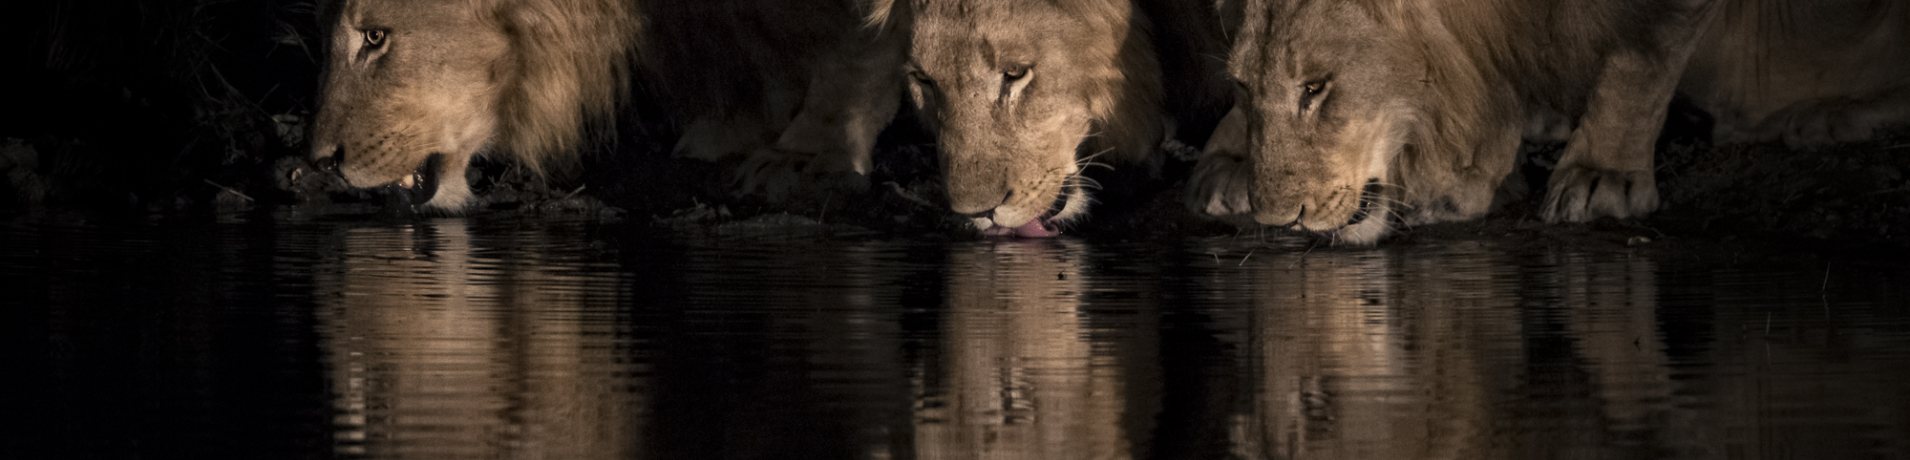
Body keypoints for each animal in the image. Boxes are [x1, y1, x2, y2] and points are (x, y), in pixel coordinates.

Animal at [1191, 0, 1910, 245]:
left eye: (1317, 88)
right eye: (1243, 85)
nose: (1278, 222)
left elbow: (1642, 52)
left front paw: (1600, 176)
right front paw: (1227, 159)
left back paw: (1824, 116)